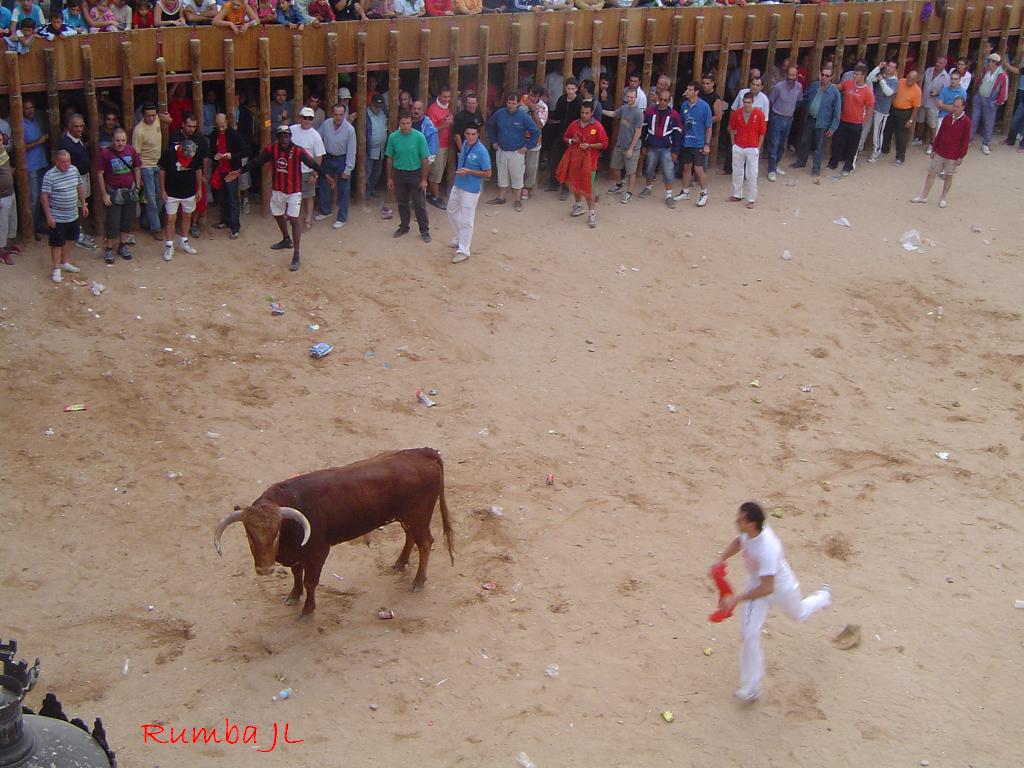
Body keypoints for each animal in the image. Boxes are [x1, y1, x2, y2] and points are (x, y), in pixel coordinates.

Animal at [214, 448, 454, 618]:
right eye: (249, 534)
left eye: (276, 532)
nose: (264, 570)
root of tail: (423, 452)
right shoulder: (297, 555)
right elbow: (297, 575)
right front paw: (293, 596)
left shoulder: (318, 553)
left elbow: (310, 582)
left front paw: (307, 610)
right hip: (407, 517)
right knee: (410, 536)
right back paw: (400, 563)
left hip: (419, 517)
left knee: (425, 543)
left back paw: (418, 581)